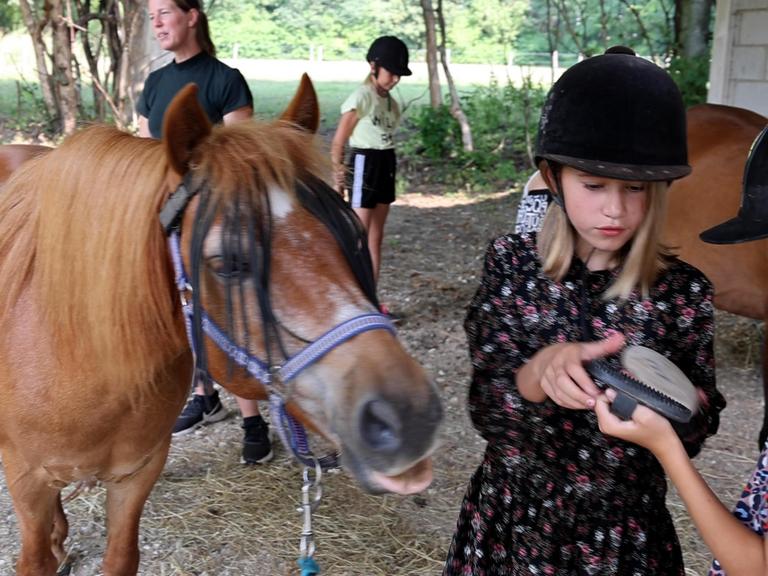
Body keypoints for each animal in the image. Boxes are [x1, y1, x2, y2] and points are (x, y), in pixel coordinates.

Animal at [0, 77, 440, 576]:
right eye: (228, 262)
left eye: (350, 236)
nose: (410, 415)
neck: (79, 354)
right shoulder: (27, 482)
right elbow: (35, 555)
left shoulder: (136, 474)